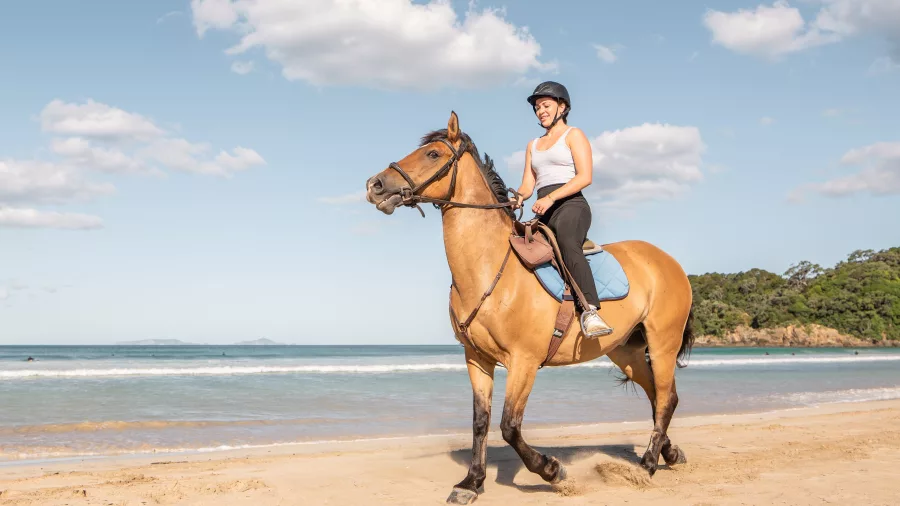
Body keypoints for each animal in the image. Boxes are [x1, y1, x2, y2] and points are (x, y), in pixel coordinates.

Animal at [365, 111, 694, 504]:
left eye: (432, 154)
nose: (375, 185)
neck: (489, 267)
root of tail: (668, 261)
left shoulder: (523, 361)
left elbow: (509, 426)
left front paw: (553, 470)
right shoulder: (477, 359)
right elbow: (481, 422)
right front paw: (471, 483)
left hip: (662, 344)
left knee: (665, 399)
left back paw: (645, 466)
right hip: (625, 351)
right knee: (660, 395)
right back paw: (669, 453)